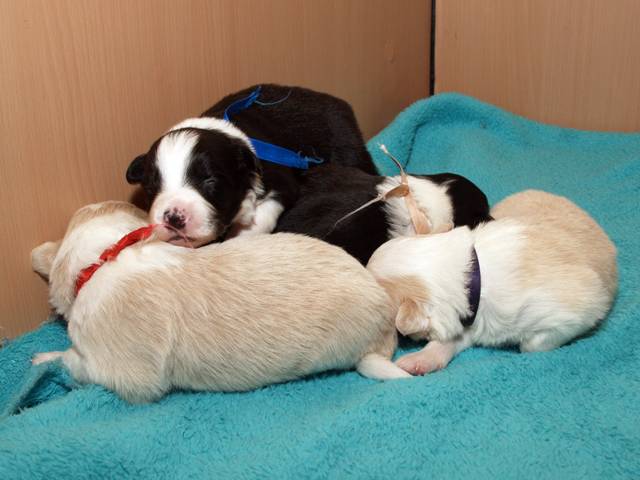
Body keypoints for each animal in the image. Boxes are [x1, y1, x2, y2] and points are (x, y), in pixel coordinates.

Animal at [125, 84, 376, 247]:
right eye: (151, 187)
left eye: (210, 181)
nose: (173, 217)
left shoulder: (282, 184)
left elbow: (260, 218)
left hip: (348, 148)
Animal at [366, 190, 617, 375]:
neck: (472, 274)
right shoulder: (472, 319)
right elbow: (448, 341)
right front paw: (418, 361)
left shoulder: (578, 310)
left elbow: (532, 344)